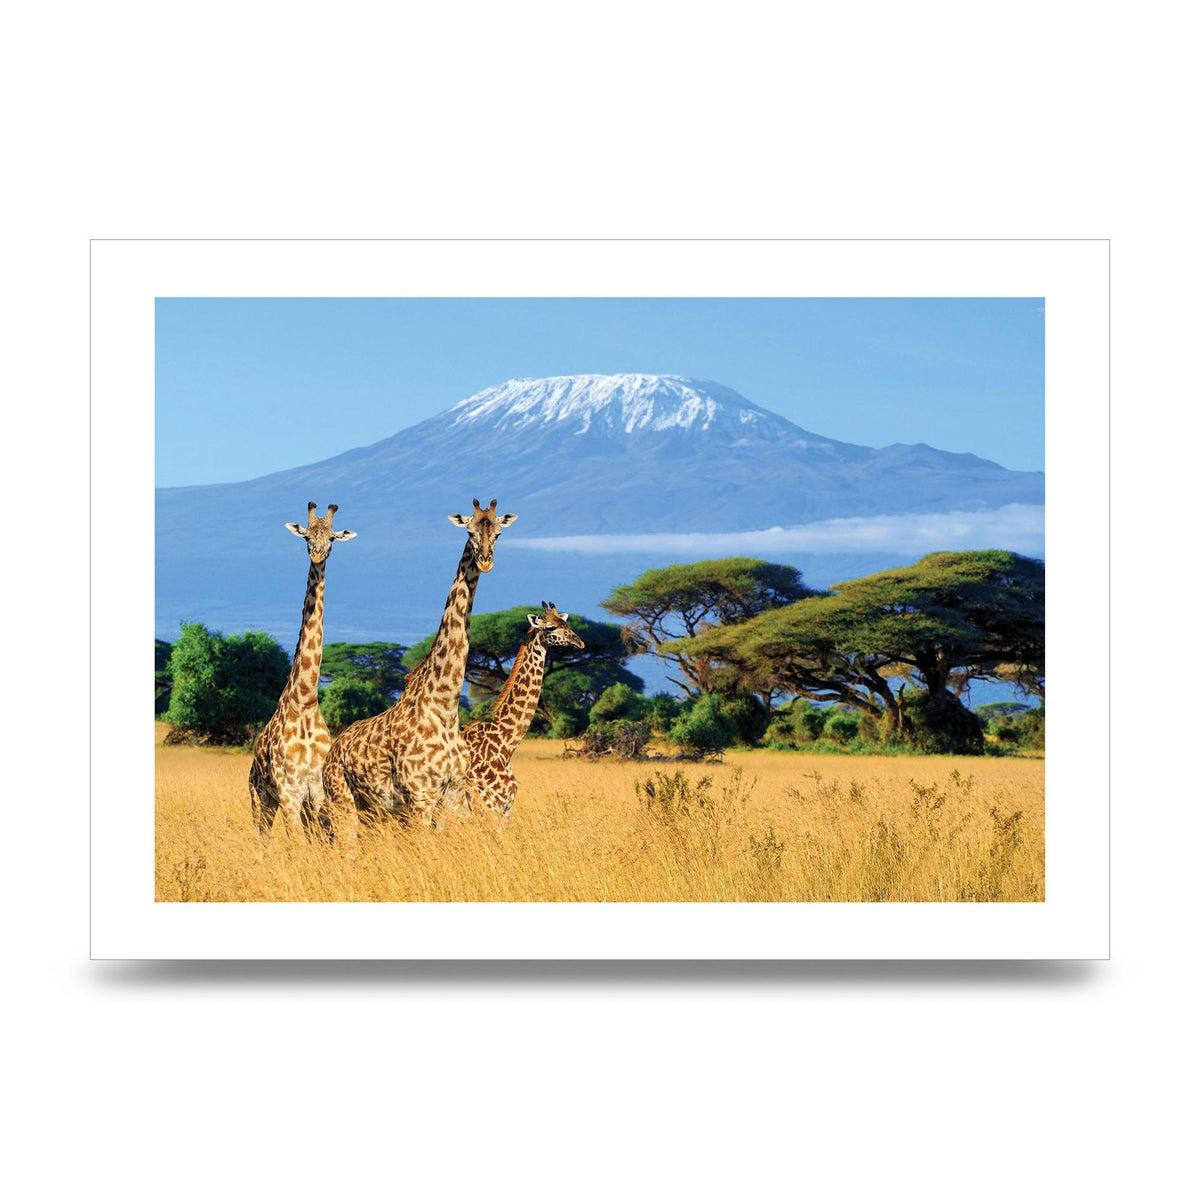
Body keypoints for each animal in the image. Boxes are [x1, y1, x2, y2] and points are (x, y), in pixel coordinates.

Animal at [249, 502, 357, 837]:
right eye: (307, 537)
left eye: (332, 538)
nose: (318, 555)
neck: (306, 700)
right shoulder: (289, 791)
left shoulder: (317, 791)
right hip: (260, 798)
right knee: (262, 836)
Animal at [322, 498, 516, 837]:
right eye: (469, 531)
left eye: (499, 533)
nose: (485, 561)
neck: (445, 707)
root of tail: (333, 750)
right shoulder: (420, 796)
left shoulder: (453, 795)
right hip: (342, 800)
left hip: (372, 809)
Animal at [457, 601, 584, 818]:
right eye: (550, 627)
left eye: (565, 623)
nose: (580, 643)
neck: (505, 744)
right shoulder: (490, 808)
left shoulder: (505, 810)